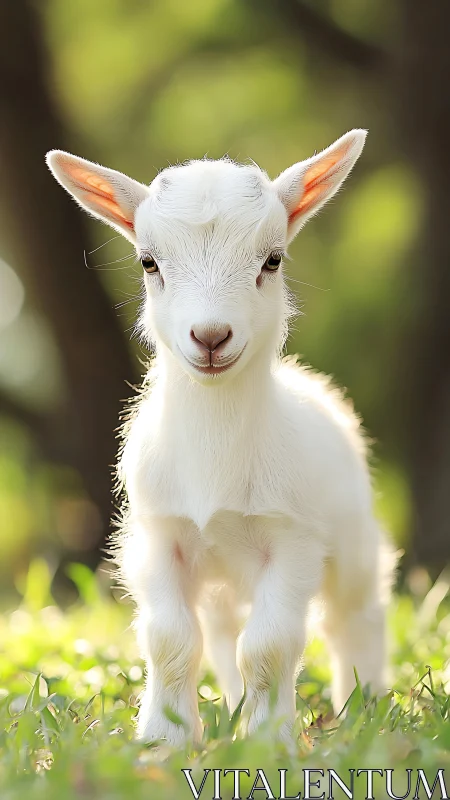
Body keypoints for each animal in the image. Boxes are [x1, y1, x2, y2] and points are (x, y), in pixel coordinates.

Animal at [46, 130, 391, 746]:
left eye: (272, 259)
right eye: (148, 261)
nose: (210, 337)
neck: (216, 462)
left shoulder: (293, 538)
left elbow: (270, 646)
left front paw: (268, 742)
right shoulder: (158, 535)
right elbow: (172, 640)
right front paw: (164, 740)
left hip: (351, 538)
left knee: (354, 616)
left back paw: (363, 708)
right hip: (224, 578)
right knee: (224, 634)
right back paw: (233, 706)